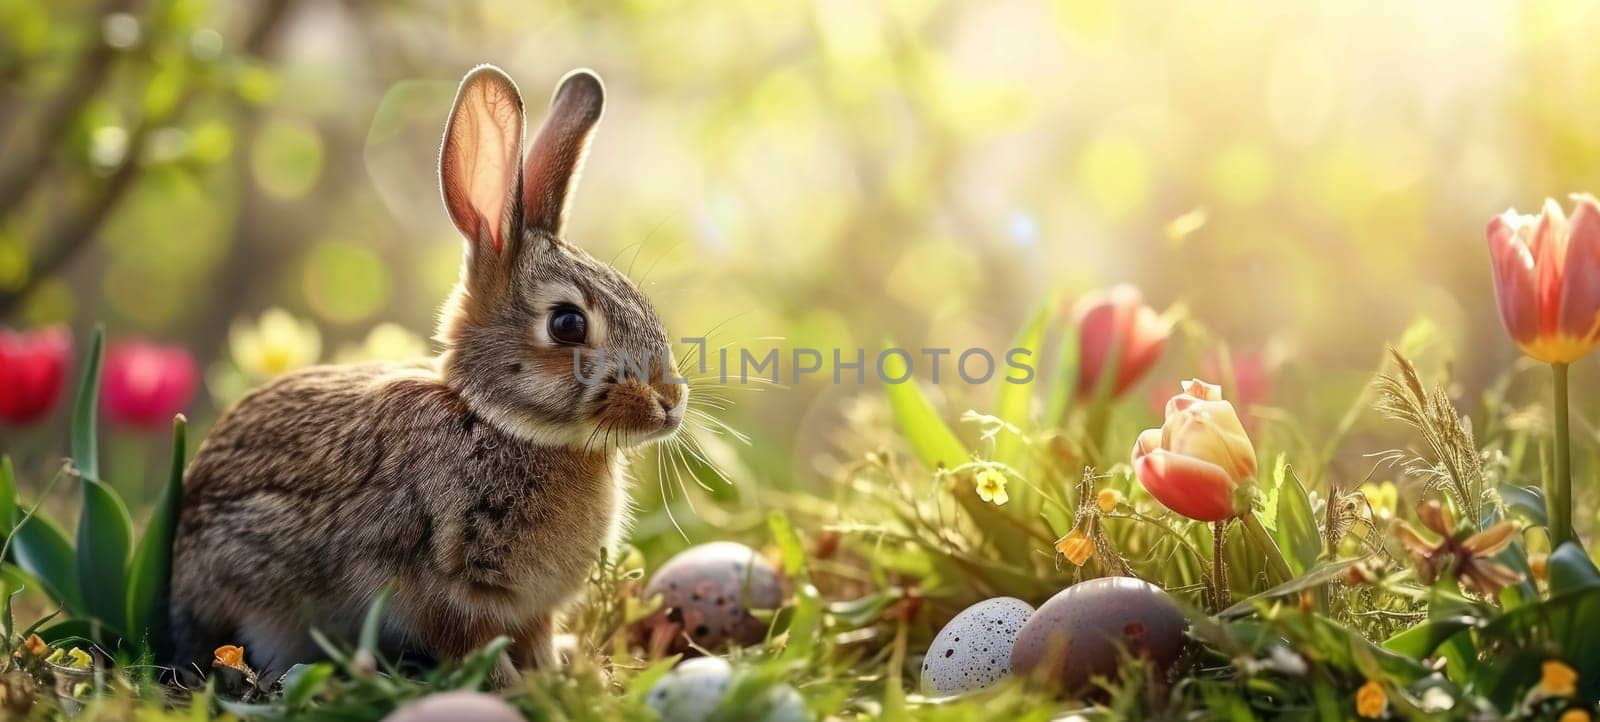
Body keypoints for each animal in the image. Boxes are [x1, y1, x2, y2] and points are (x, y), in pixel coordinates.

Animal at [173, 66, 688, 685]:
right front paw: (519, 688)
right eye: (567, 324)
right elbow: (470, 643)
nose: (670, 402)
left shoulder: (531, 608)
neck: (493, 420)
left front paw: (553, 674)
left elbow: (534, 638)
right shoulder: (442, 586)